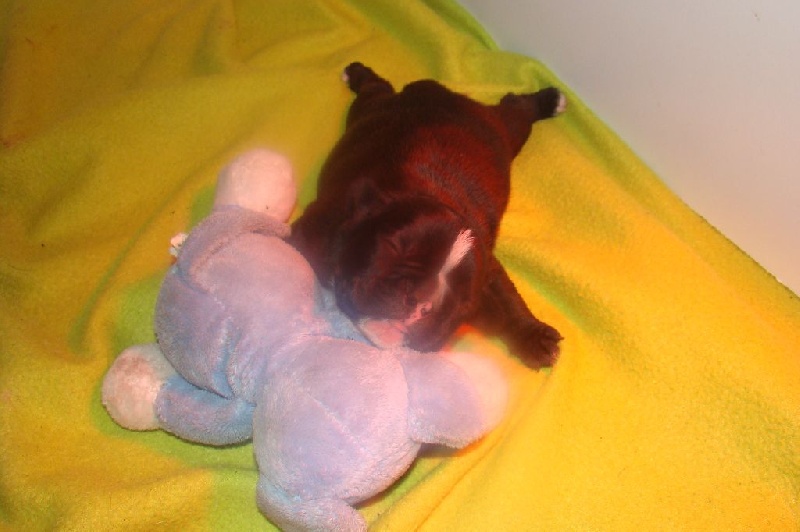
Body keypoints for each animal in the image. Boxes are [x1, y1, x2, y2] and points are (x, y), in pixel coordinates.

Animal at [289, 62, 563, 369]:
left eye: (462, 299)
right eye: (393, 246)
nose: (422, 302)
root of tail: (441, 91)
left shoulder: (489, 268)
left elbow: (508, 299)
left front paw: (533, 337)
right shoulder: (320, 225)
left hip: (504, 131)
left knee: (516, 107)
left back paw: (551, 100)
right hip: (372, 109)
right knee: (377, 87)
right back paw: (357, 72)